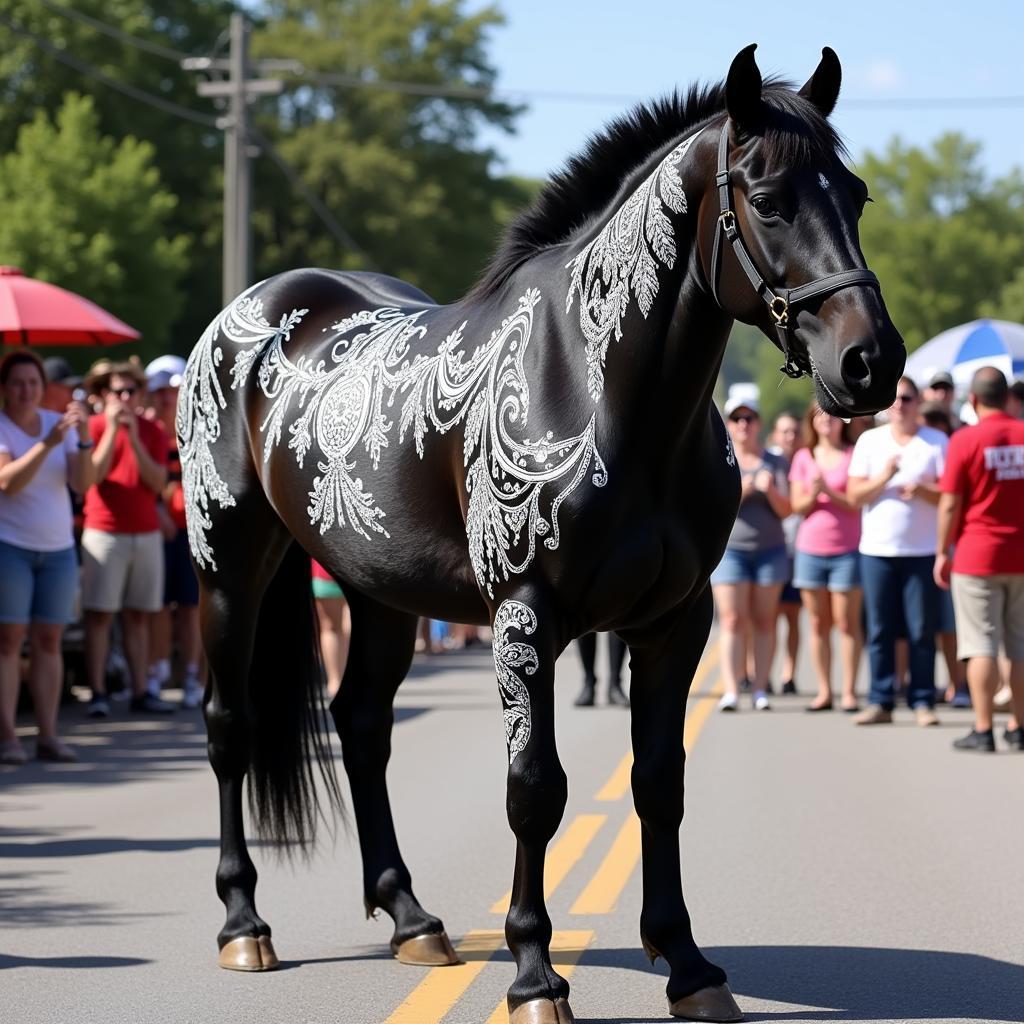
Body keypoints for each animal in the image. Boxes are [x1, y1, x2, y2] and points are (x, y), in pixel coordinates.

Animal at [178, 44, 905, 1019]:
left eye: (855, 194)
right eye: (767, 197)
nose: (871, 364)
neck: (598, 391)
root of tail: (249, 314)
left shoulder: (676, 623)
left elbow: (657, 781)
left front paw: (688, 964)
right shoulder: (526, 618)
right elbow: (534, 790)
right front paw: (533, 973)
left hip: (379, 593)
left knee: (363, 725)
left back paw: (411, 918)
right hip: (229, 567)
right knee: (231, 726)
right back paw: (243, 925)